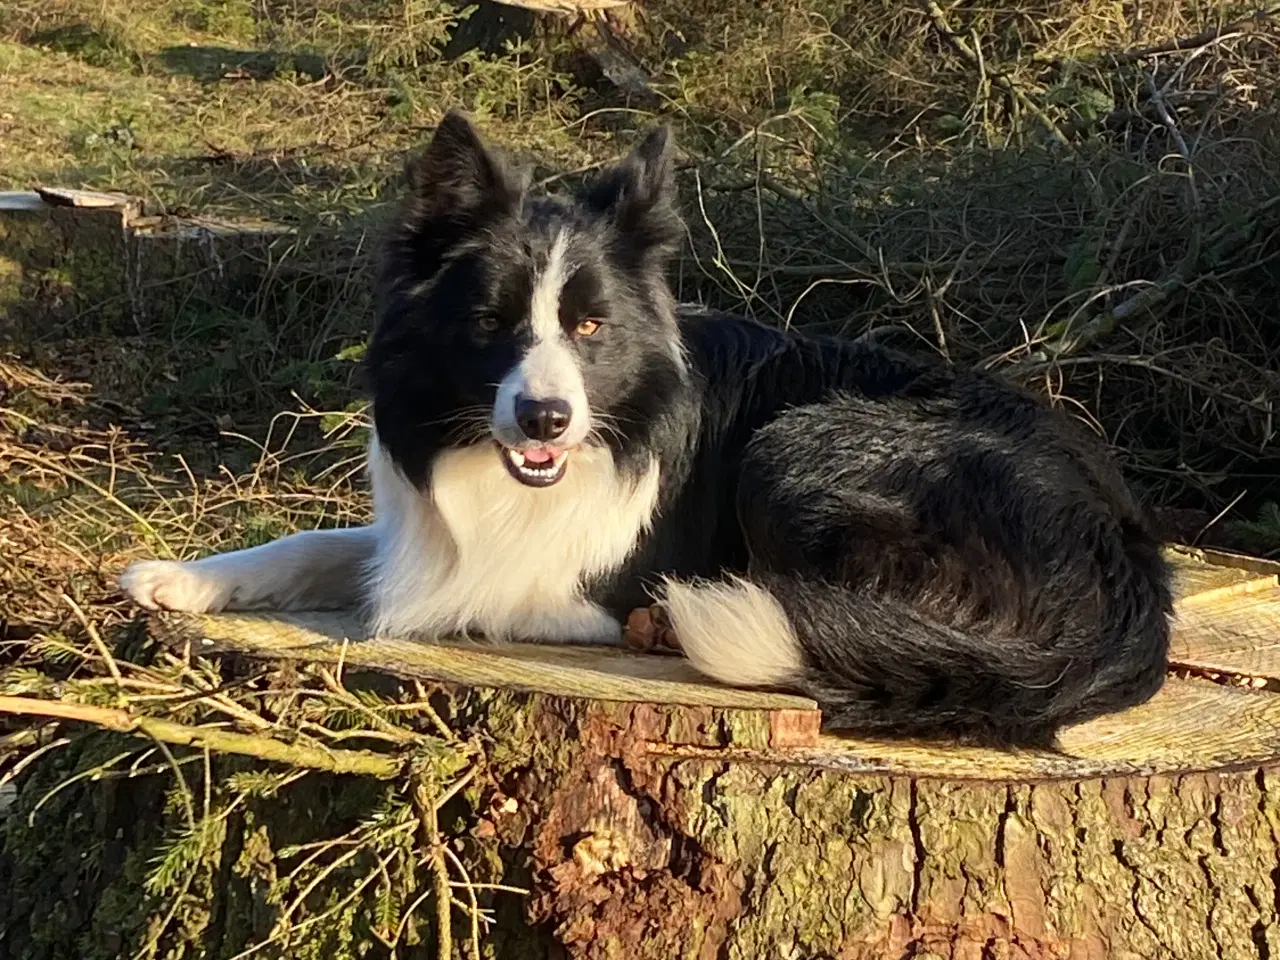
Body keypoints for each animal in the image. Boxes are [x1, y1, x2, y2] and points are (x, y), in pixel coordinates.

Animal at [120, 108, 1172, 747]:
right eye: (491, 322)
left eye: (590, 327)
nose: (546, 415)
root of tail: (1132, 579)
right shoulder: (418, 525)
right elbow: (321, 542)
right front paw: (185, 577)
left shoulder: (566, 576)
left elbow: (463, 594)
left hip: (804, 442)